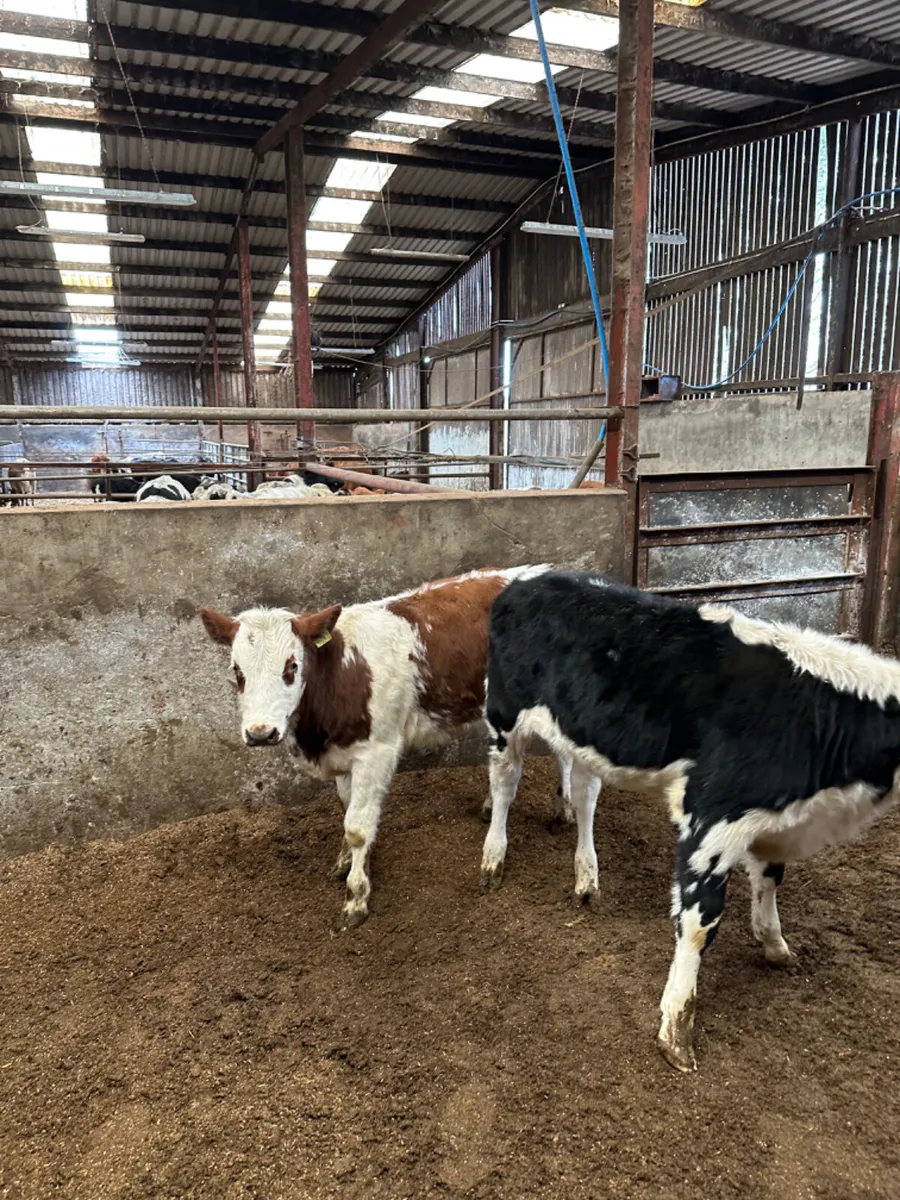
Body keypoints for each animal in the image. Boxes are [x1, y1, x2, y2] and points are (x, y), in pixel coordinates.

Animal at [199, 567, 575, 928]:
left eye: (292, 666)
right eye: (237, 671)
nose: (260, 732)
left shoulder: (376, 752)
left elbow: (357, 827)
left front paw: (356, 897)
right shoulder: (345, 754)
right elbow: (348, 811)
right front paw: (348, 863)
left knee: (507, 779)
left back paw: (494, 857)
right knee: (561, 754)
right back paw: (562, 810)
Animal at [481, 571, 900, 1073]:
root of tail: (530, 577)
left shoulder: (767, 818)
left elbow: (769, 879)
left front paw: (774, 944)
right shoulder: (713, 817)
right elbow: (700, 922)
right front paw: (676, 1028)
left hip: (584, 735)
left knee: (584, 796)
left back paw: (586, 878)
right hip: (504, 714)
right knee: (505, 782)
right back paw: (493, 858)